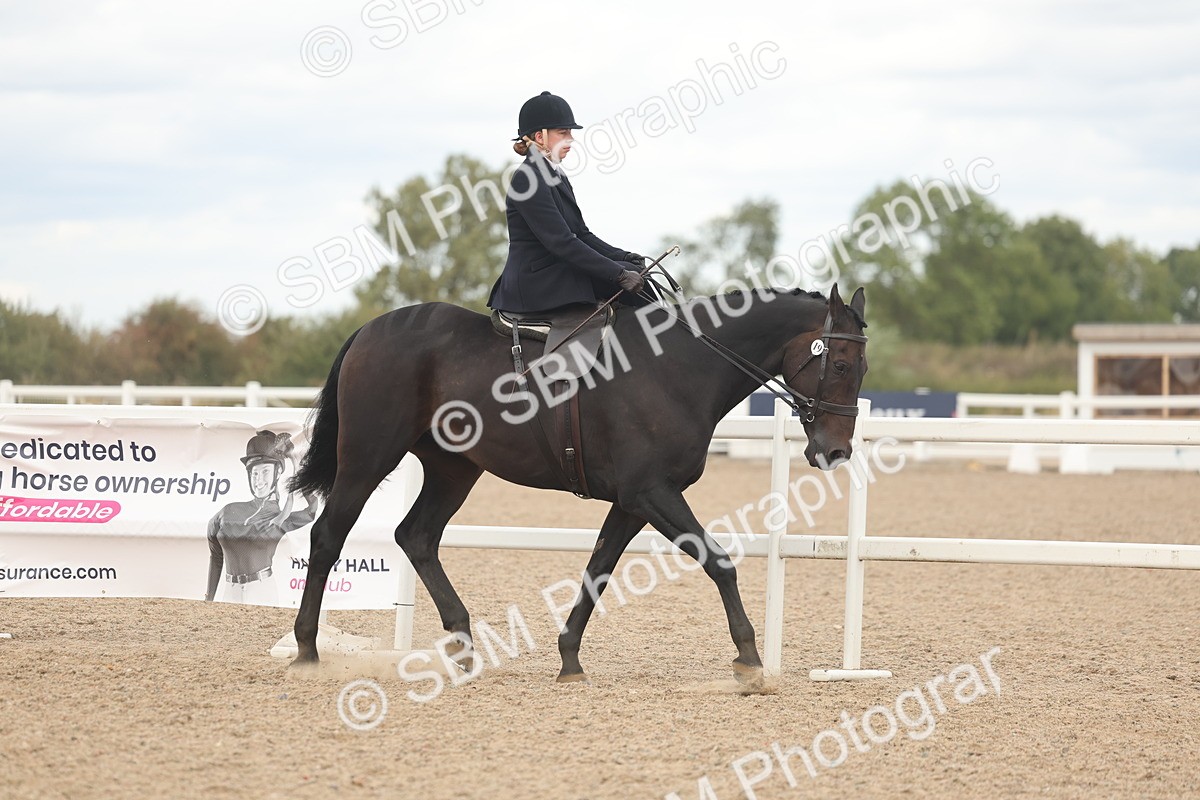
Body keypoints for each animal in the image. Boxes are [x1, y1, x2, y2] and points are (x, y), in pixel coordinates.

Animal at [288, 284, 868, 687]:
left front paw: (569, 658)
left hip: (454, 470)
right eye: (840, 364)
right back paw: (307, 651)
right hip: (368, 458)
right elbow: (717, 560)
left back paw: (463, 645)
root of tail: (372, 329)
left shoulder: (634, 502)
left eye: (862, 368)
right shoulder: (652, 493)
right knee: (328, 536)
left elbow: (599, 569)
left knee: (417, 536)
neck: (680, 367)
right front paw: (748, 659)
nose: (835, 452)